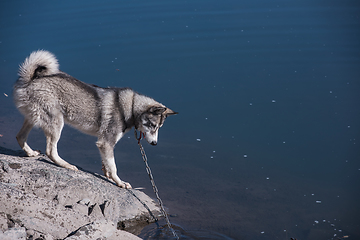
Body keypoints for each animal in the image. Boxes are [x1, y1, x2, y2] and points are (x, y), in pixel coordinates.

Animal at [14, 50, 177, 189]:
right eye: (153, 125)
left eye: (158, 127)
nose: (155, 143)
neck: (130, 107)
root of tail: (30, 78)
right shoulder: (106, 143)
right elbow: (113, 167)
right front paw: (119, 182)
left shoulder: (104, 144)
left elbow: (107, 164)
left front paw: (108, 176)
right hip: (56, 123)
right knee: (50, 151)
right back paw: (66, 165)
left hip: (33, 119)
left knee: (20, 136)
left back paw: (31, 153)